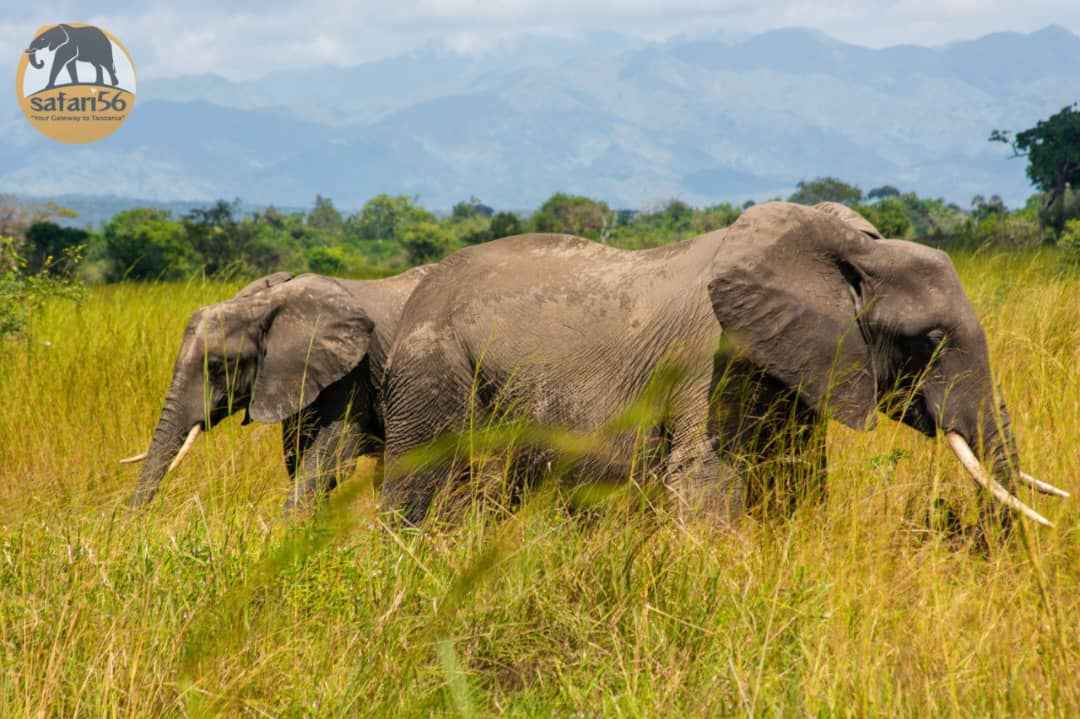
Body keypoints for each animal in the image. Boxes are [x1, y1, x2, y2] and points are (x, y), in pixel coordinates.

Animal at [378, 201, 1062, 526]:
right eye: (930, 341)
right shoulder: (713, 358)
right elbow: (707, 476)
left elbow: (795, 474)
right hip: (434, 370)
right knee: (420, 485)